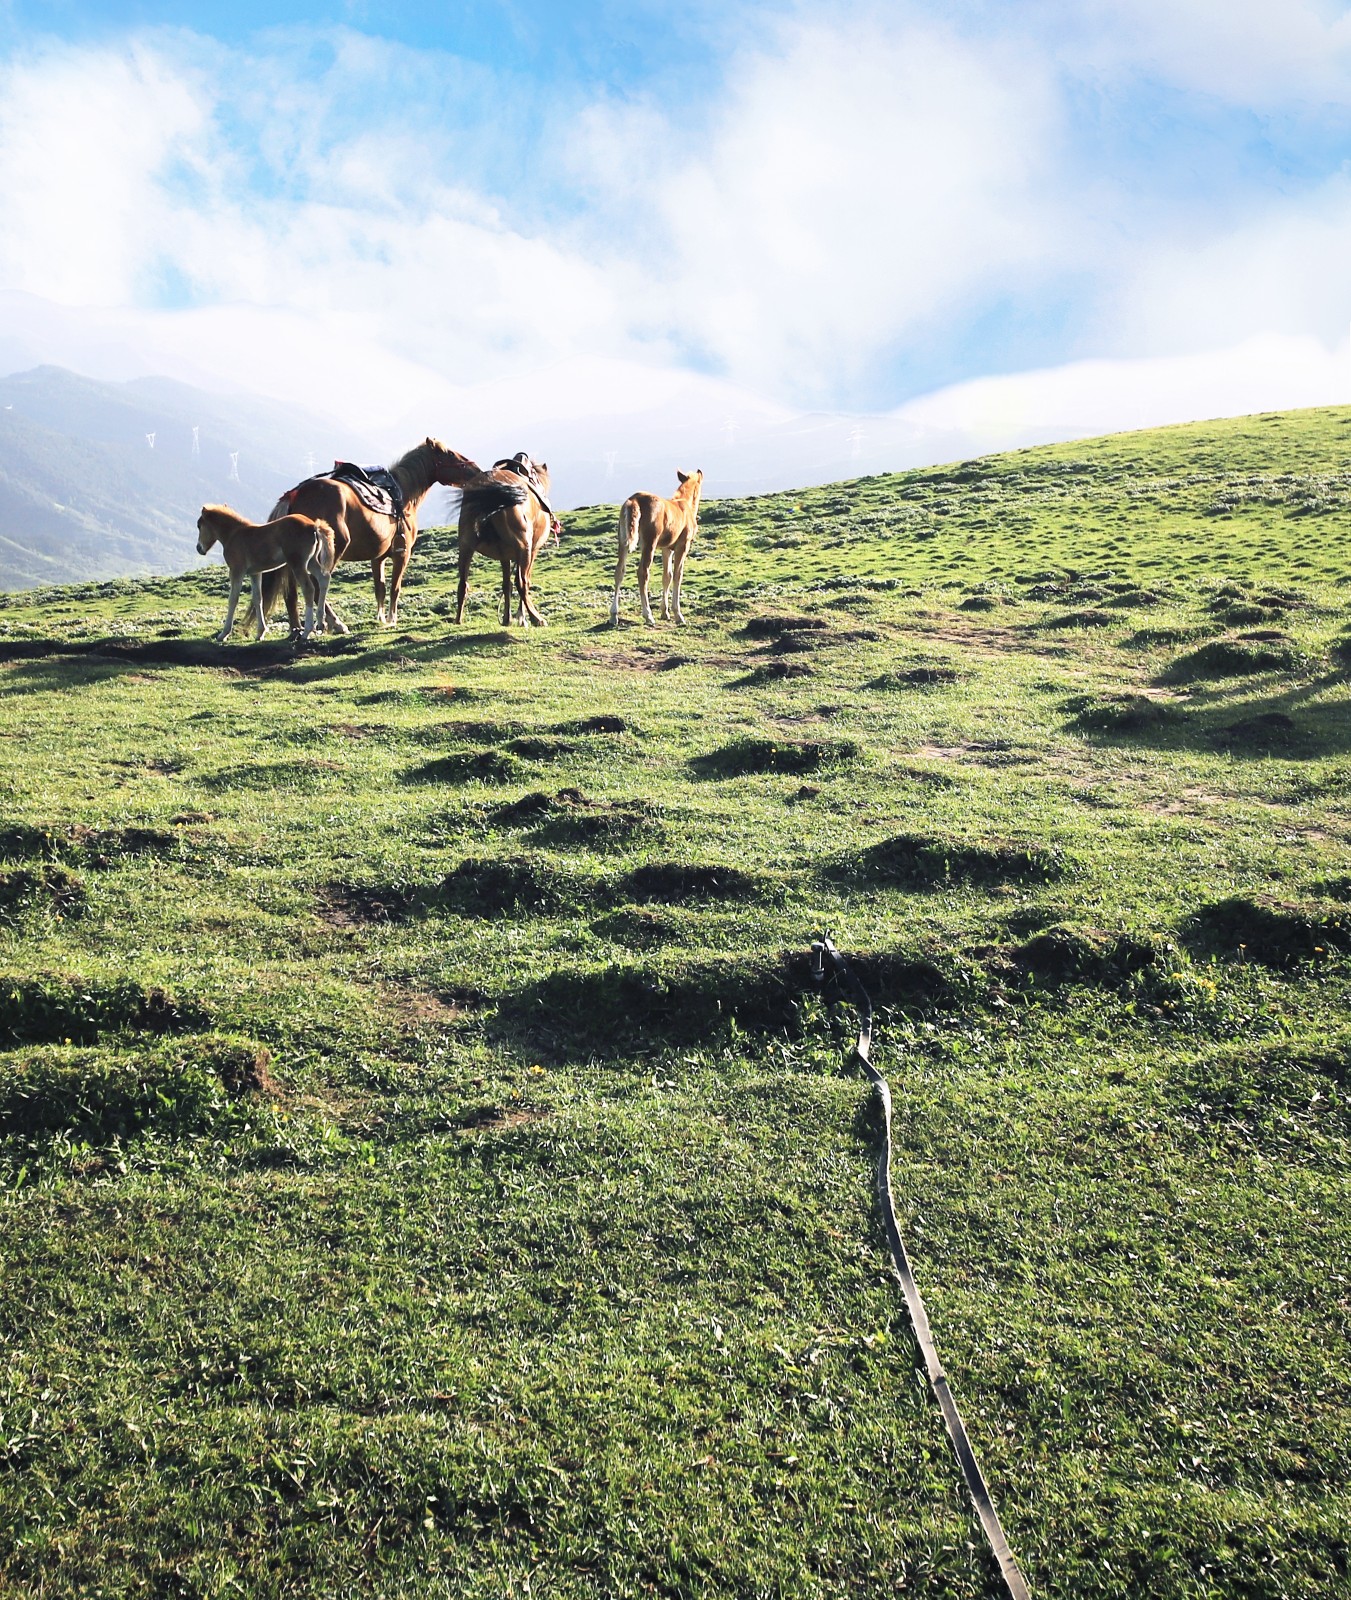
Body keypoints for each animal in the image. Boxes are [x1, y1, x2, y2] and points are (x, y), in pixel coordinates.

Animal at [196, 505, 336, 643]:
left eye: (199, 525)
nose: (199, 548)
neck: (233, 534)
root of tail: (313, 526)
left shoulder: (236, 571)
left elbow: (233, 599)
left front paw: (223, 634)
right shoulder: (255, 573)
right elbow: (258, 598)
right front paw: (260, 633)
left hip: (298, 564)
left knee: (309, 588)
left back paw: (307, 631)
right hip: (311, 561)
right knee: (324, 578)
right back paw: (321, 623)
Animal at [259, 441, 480, 640]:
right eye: (449, 454)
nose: (476, 471)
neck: (403, 496)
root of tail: (295, 495)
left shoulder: (378, 558)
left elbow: (379, 588)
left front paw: (380, 618)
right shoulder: (402, 554)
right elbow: (395, 587)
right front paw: (391, 619)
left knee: (292, 591)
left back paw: (296, 629)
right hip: (331, 550)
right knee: (317, 583)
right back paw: (335, 624)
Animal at [454, 454, 560, 627]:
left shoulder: (504, 555)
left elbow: (506, 585)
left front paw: (507, 618)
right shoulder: (532, 550)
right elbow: (524, 581)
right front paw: (521, 618)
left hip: (465, 547)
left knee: (463, 584)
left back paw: (458, 620)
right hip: (524, 548)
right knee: (521, 582)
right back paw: (537, 618)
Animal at [608, 467, 701, 624]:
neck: (684, 505)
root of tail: (634, 500)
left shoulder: (666, 548)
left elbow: (667, 576)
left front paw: (665, 612)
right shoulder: (683, 546)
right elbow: (677, 575)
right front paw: (678, 615)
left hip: (623, 541)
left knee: (619, 571)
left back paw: (614, 615)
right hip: (649, 543)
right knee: (643, 573)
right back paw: (648, 615)